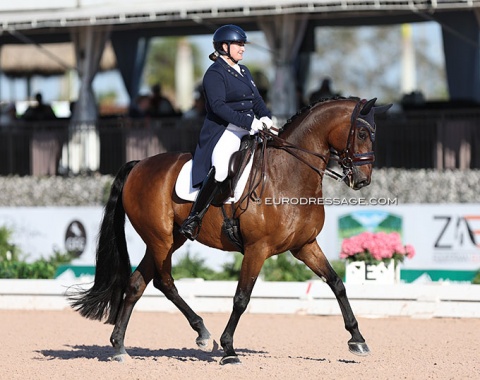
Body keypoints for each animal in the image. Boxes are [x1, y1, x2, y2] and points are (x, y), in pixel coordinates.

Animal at [68, 97, 390, 366]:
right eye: (362, 134)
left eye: (374, 134)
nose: (362, 179)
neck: (288, 174)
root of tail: (138, 165)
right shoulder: (257, 249)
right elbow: (241, 298)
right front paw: (229, 349)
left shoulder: (305, 245)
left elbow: (337, 283)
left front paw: (357, 339)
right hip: (161, 239)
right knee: (165, 281)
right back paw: (202, 333)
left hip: (171, 239)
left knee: (138, 284)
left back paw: (120, 346)